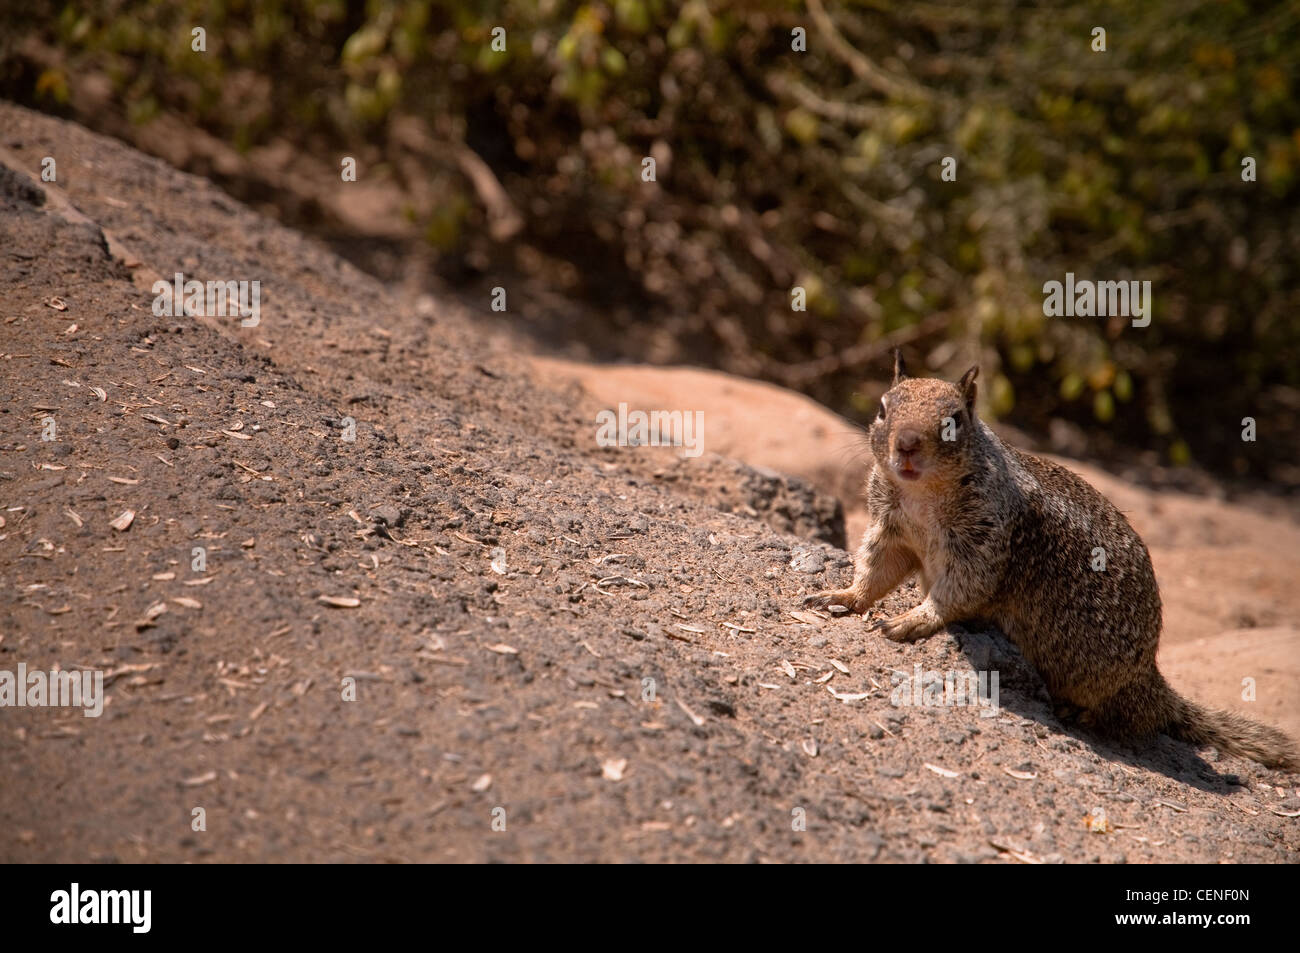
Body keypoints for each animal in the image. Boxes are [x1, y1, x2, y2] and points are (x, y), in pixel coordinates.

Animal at [806, 353, 1294, 769]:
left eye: (954, 420)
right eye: (882, 408)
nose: (906, 445)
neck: (923, 495)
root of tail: (1151, 680)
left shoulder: (982, 545)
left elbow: (957, 593)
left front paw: (913, 619)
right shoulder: (891, 531)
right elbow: (876, 570)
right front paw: (843, 595)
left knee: (1126, 718)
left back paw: (1077, 711)